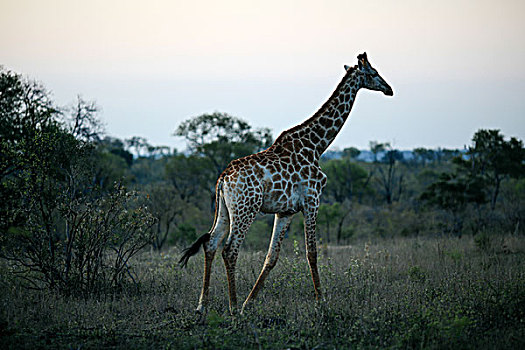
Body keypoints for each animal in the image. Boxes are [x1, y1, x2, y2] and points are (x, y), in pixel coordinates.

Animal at [180, 52, 392, 314]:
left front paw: (250, 303)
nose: (389, 89)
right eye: (374, 73)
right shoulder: (312, 200)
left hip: (225, 210)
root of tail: (223, 179)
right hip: (246, 209)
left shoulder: (286, 211)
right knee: (229, 249)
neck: (317, 145)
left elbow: (272, 257)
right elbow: (312, 252)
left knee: (211, 243)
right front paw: (321, 302)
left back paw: (203, 306)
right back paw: (232, 307)